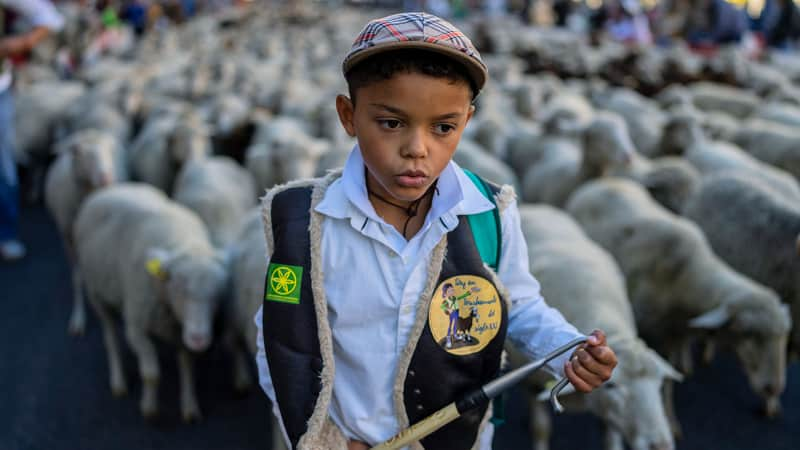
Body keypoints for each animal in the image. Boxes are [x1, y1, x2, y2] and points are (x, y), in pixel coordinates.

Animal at [43, 128, 127, 336]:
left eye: (109, 149)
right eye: (78, 151)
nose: (106, 178)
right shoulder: (67, 238)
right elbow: (76, 277)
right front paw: (78, 317)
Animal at [73, 184, 228, 422]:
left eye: (216, 296)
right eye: (179, 289)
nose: (199, 339)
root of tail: (114, 187)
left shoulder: (179, 331)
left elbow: (187, 366)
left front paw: (189, 406)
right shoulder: (136, 327)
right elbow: (151, 374)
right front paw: (149, 409)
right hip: (96, 294)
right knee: (110, 338)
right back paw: (118, 380)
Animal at [512, 206, 680, 450]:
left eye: (659, 383)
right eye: (612, 386)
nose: (660, 445)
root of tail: (536, 208)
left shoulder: (608, 414)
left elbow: (611, 439)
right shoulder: (530, 386)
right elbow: (541, 428)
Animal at [564, 178, 792, 420]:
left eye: (784, 336)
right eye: (747, 332)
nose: (773, 388)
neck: (687, 274)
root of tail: (605, 181)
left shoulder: (675, 331)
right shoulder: (651, 332)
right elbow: (664, 383)